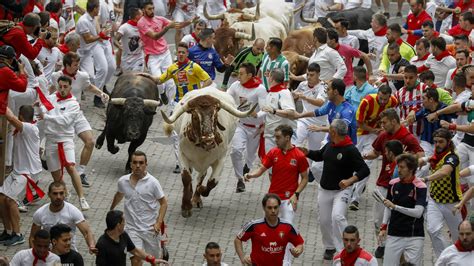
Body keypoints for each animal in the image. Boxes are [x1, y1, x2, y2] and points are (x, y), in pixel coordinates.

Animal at [160, 86, 258, 217]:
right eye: (195, 117)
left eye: (215, 116)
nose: (209, 141)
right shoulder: (182, 155)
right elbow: (186, 178)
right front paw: (186, 206)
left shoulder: (221, 159)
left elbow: (213, 181)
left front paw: (200, 191)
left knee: (201, 176)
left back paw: (197, 198)